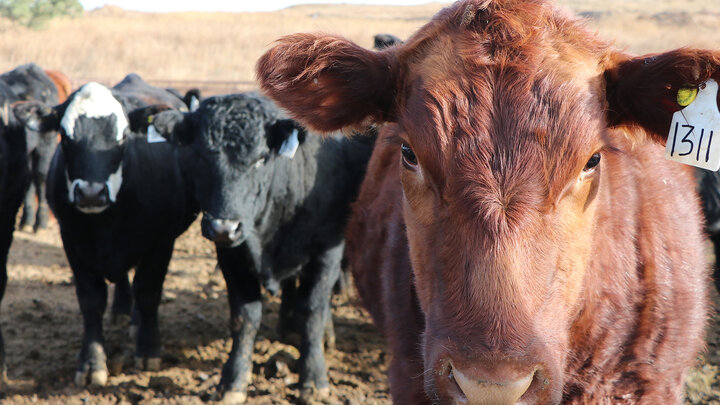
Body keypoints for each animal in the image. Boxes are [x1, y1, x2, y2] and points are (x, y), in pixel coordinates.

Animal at [14, 75, 198, 386]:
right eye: (66, 137)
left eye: (122, 137)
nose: (91, 193)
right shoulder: (72, 241)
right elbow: (91, 301)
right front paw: (91, 363)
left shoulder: (161, 242)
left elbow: (148, 292)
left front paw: (148, 350)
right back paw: (122, 311)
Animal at [152, 93, 376, 402]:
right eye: (200, 156)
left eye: (260, 159)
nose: (223, 227)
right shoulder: (232, 257)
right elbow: (244, 319)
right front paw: (232, 382)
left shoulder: (327, 250)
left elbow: (313, 312)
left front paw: (314, 379)